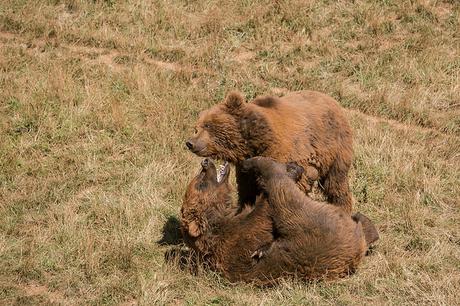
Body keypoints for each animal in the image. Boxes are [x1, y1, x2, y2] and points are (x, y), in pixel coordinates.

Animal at [180, 158, 378, 284]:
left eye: (198, 178)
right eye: (200, 184)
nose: (205, 162)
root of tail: (356, 248)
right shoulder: (244, 232)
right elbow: (267, 204)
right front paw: (291, 169)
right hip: (315, 229)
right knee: (281, 191)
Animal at [185, 90, 354, 213]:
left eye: (208, 125)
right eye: (196, 128)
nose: (190, 143)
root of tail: (332, 100)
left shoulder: (285, 155)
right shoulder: (246, 168)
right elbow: (247, 191)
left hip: (335, 148)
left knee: (336, 184)